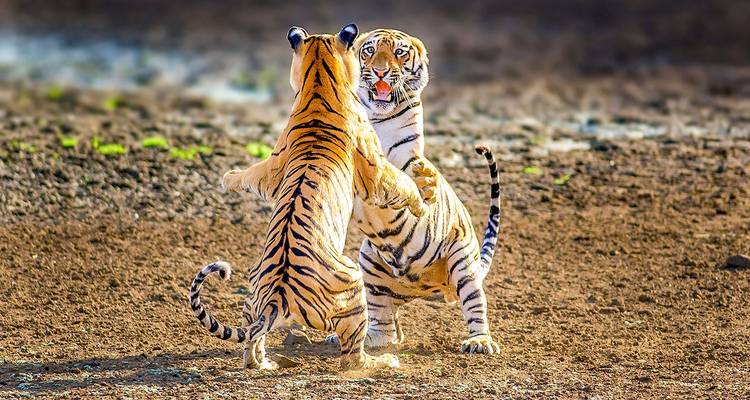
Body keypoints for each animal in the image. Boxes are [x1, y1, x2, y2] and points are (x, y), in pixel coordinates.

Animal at [187, 24, 436, 371]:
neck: (318, 84)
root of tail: (277, 298)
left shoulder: (274, 165)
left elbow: (252, 173)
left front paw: (228, 177)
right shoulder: (373, 165)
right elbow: (400, 182)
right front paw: (421, 200)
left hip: (252, 294)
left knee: (251, 341)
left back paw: (264, 364)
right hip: (353, 284)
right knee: (352, 360)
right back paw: (385, 361)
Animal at [324, 29, 502, 354]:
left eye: (400, 53)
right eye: (369, 51)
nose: (381, 71)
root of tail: (425, 288)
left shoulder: (407, 158)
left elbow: (409, 177)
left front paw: (425, 186)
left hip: (463, 262)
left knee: (475, 305)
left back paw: (480, 342)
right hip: (368, 261)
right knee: (385, 327)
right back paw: (361, 337)